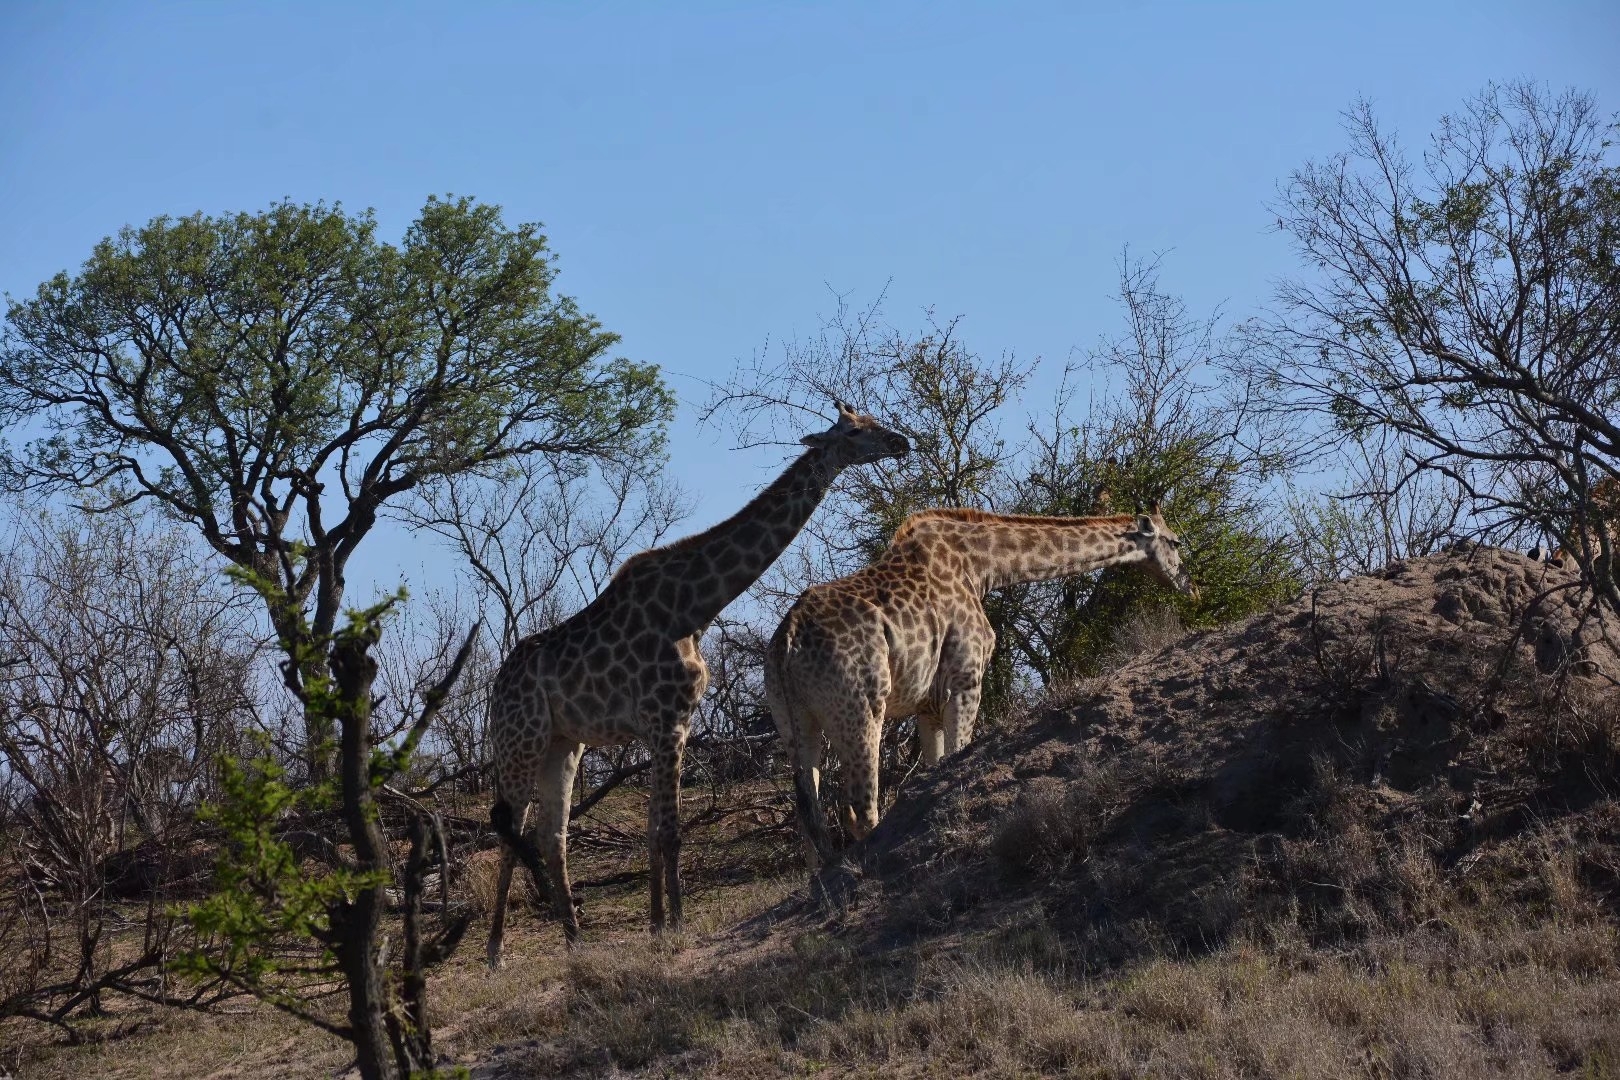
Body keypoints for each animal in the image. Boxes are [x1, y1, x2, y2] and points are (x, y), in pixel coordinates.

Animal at [479, 403, 913, 965]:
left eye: (874, 420)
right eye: (856, 432)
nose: (901, 442)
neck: (695, 608)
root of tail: (495, 690)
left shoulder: (670, 725)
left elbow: (653, 828)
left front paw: (657, 923)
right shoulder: (668, 721)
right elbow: (668, 830)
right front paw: (674, 926)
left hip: (563, 744)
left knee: (552, 835)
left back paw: (575, 941)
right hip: (521, 740)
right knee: (507, 825)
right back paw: (495, 951)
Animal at [764, 501, 1198, 867]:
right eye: (1176, 541)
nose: (1190, 587)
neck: (980, 566)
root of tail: (787, 640)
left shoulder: (928, 702)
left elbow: (934, 771)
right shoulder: (965, 679)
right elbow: (958, 759)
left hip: (794, 722)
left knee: (809, 815)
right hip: (862, 708)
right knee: (859, 808)